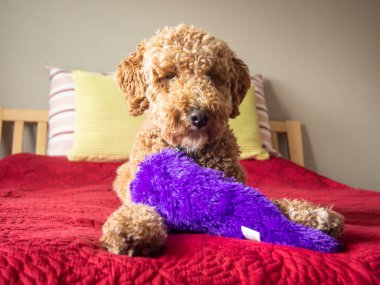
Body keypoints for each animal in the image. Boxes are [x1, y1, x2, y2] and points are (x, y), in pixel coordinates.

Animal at [101, 24, 344, 255]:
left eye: (213, 76)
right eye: (168, 76)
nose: (199, 116)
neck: (192, 152)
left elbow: (274, 203)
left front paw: (316, 214)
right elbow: (140, 210)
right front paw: (129, 229)